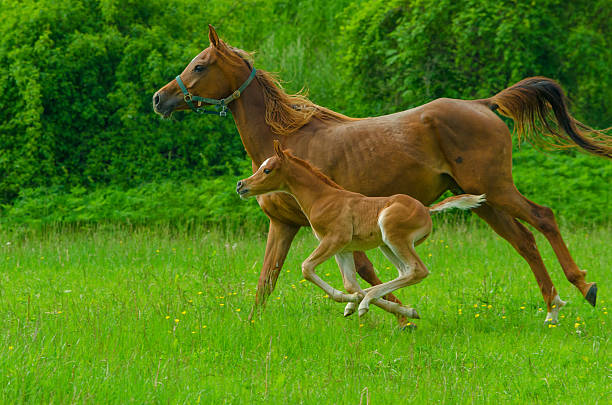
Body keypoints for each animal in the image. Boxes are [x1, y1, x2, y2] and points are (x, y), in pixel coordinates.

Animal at [237, 140, 486, 320]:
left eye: (267, 170)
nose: (241, 185)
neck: (322, 198)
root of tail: (426, 209)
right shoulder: (343, 248)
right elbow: (351, 283)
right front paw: (355, 302)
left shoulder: (335, 239)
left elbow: (307, 268)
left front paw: (352, 301)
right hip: (388, 245)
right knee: (405, 272)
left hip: (393, 234)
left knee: (418, 270)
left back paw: (367, 303)